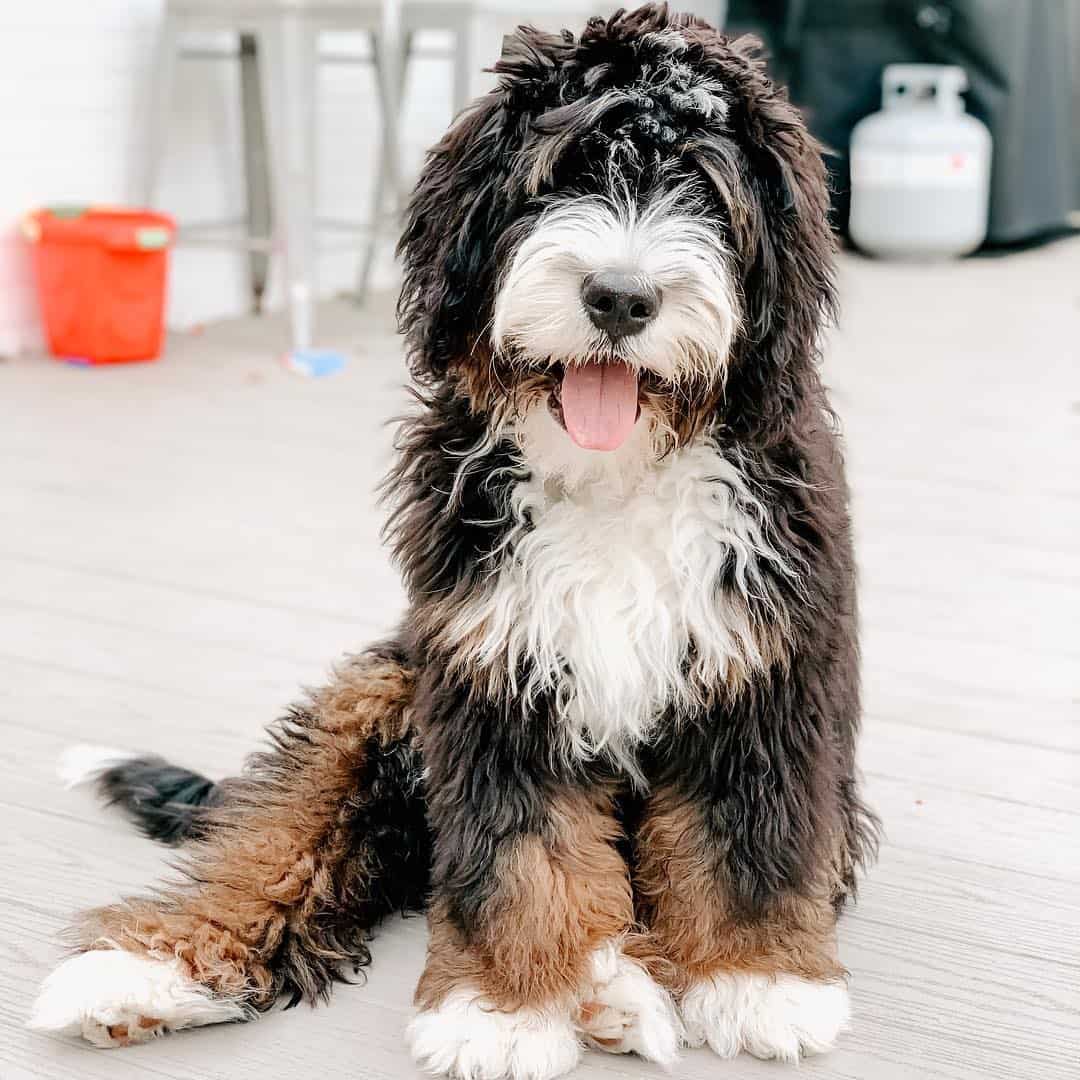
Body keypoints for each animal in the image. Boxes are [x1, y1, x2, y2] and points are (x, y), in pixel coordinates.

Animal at [29, 6, 876, 1071]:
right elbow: (516, 853)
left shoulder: (762, 666)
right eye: (561, 176)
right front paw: (506, 1009)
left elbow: (744, 832)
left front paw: (756, 979)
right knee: (286, 836)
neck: (613, 474)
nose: (620, 297)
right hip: (386, 691)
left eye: (705, 190)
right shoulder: (490, 666)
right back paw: (151, 970)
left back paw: (616, 986)